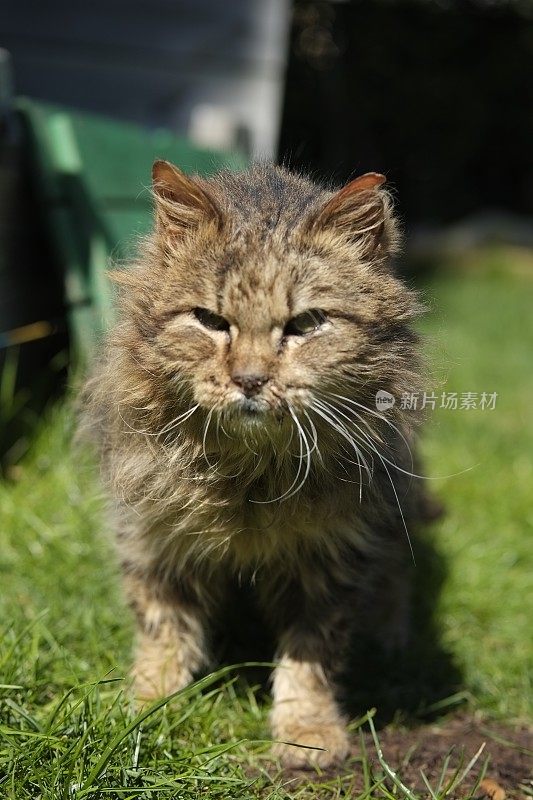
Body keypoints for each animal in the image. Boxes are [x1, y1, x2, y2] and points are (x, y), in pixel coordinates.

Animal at [83, 161, 430, 768]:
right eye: (209, 320)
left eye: (306, 324)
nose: (249, 380)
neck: (248, 480)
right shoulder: (154, 538)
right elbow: (161, 632)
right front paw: (147, 709)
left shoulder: (333, 552)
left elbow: (312, 656)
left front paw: (308, 734)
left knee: (396, 574)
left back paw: (391, 637)